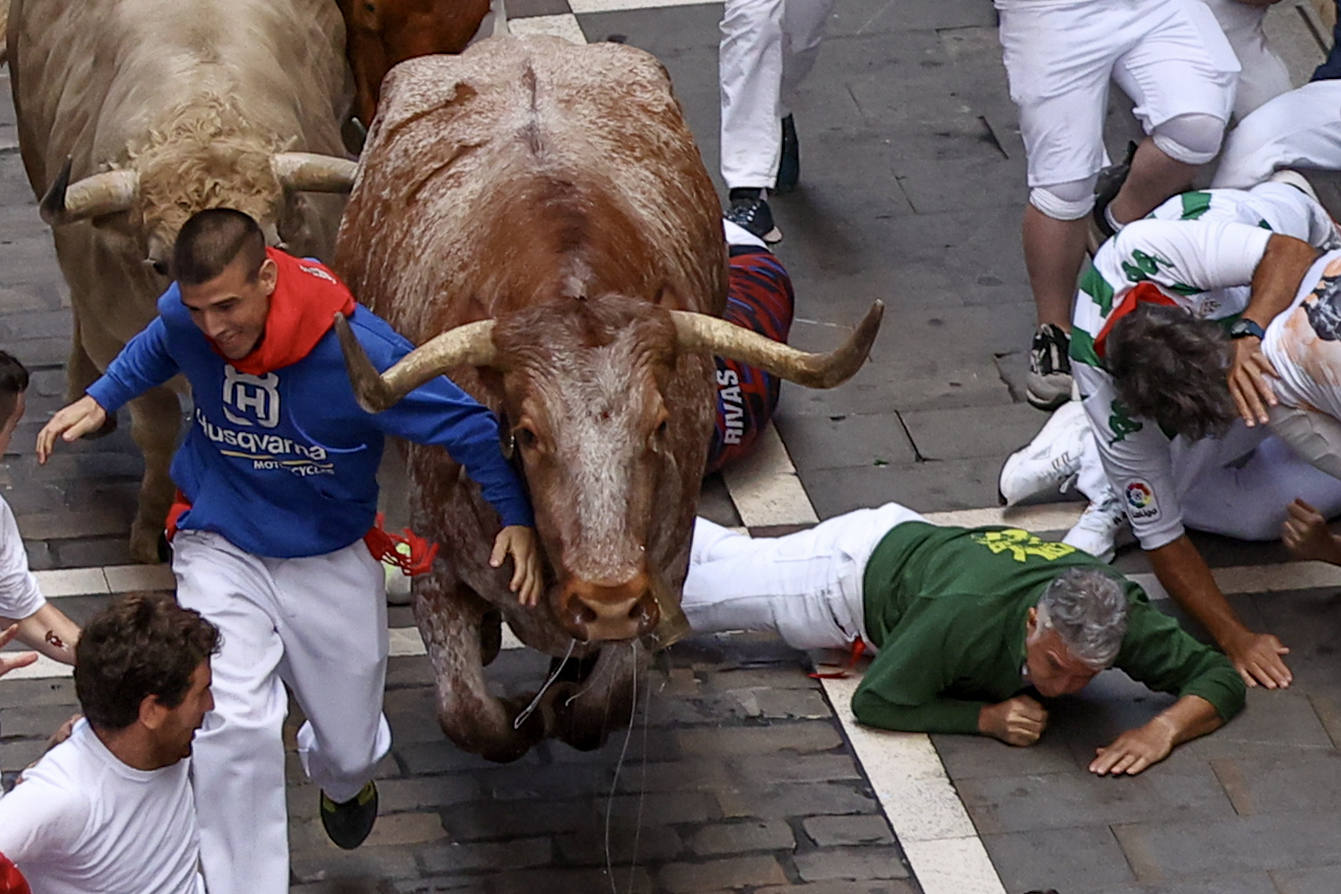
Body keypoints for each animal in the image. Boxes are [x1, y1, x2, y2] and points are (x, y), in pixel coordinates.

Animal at [333, 36, 879, 761]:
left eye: (660, 426)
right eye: (526, 434)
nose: (608, 599)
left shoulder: (664, 567)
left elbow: (604, 704)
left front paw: (563, 699)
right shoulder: (437, 560)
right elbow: (471, 717)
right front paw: (518, 707)